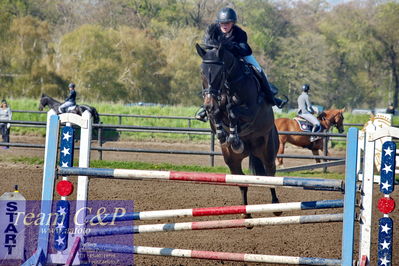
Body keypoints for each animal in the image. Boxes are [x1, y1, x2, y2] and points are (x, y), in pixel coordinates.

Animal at [197, 42, 282, 217]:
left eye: (219, 73)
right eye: (202, 72)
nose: (208, 104)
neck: (230, 83)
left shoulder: (251, 111)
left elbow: (232, 111)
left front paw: (233, 136)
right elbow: (218, 114)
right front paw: (224, 134)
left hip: (267, 150)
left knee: (270, 172)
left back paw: (276, 206)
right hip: (232, 159)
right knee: (241, 180)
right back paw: (245, 213)